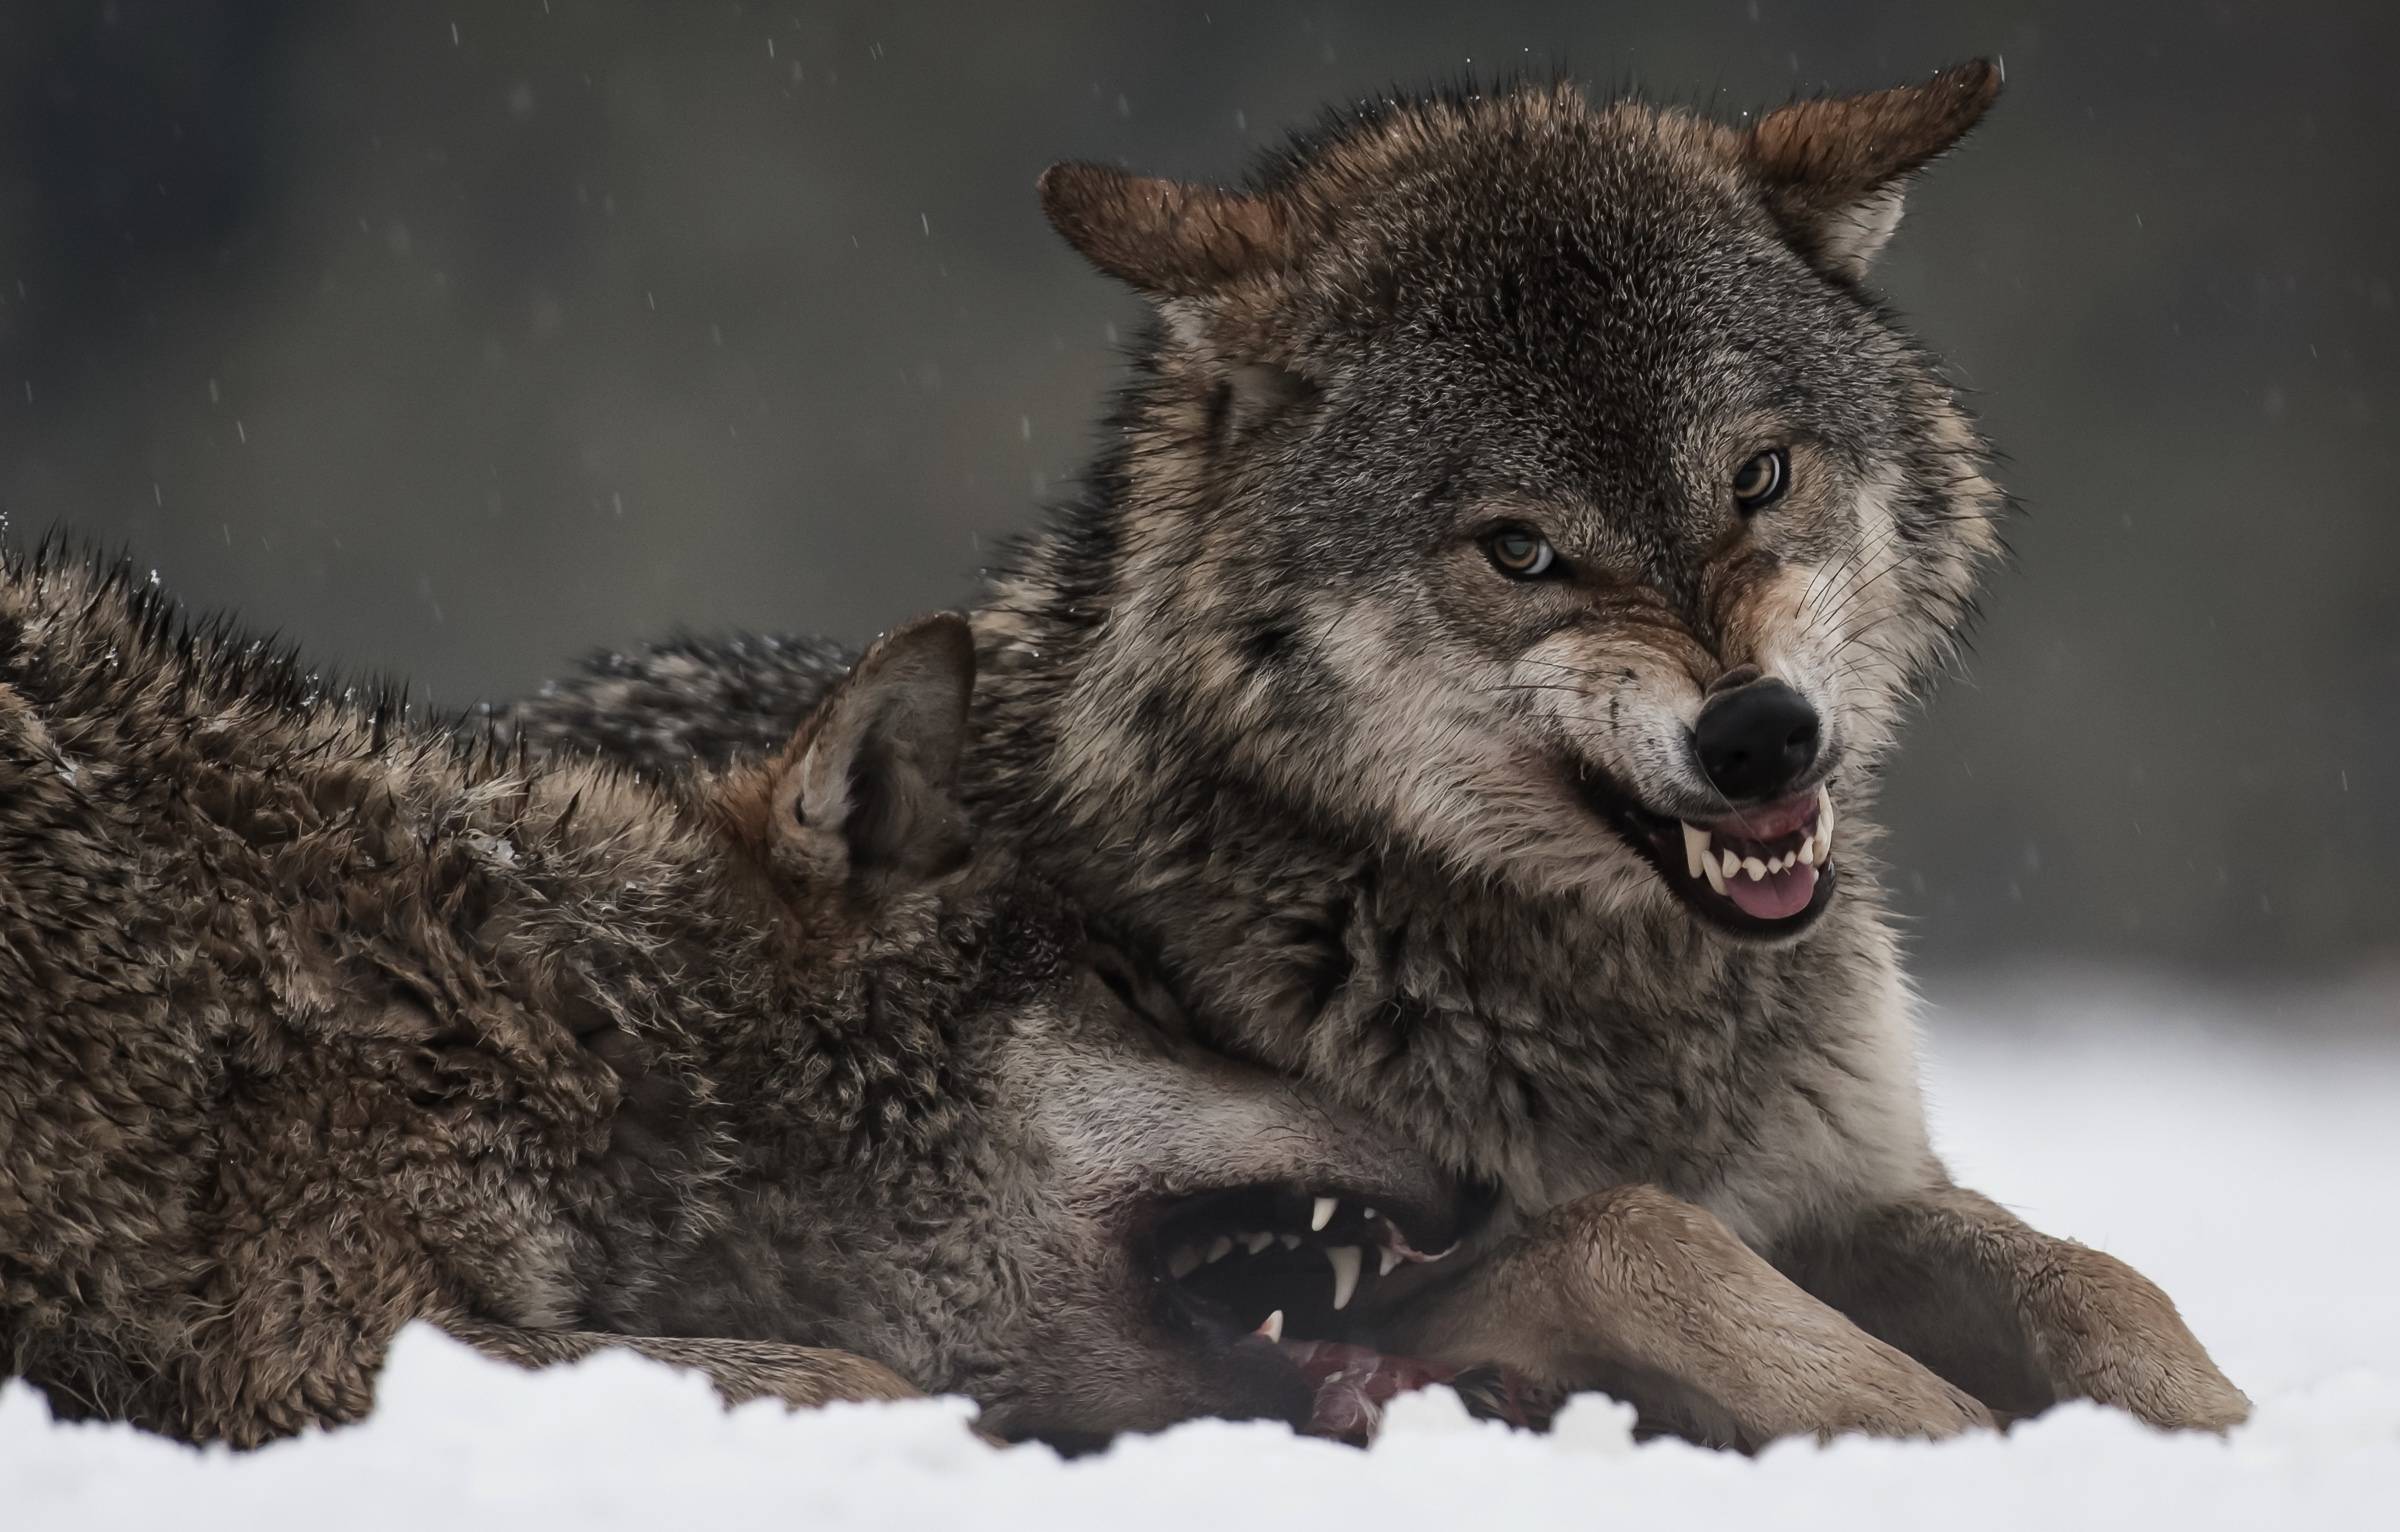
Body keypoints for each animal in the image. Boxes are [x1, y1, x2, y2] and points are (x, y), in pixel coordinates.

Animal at [501, 63, 2246, 1450]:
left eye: (1758, 476)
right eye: (1522, 550)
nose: (1760, 734)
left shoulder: (1859, 1187)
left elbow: (2102, 1282)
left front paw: (2211, 1431)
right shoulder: (1346, 1289)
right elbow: (1640, 1232)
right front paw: (1941, 1430)